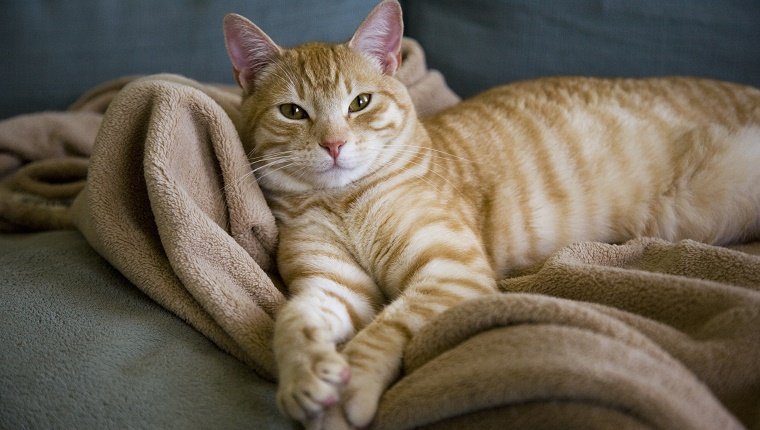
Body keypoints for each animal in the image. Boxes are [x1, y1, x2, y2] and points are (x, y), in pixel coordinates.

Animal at [223, 1, 760, 428]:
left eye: (361, 103)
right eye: (294, 112)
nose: (334, 145)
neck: (342, 202)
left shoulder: (451, 272)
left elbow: (386, 327)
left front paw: (348, 395)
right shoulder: (334, 286)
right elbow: (293, 318)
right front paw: (304, 377)